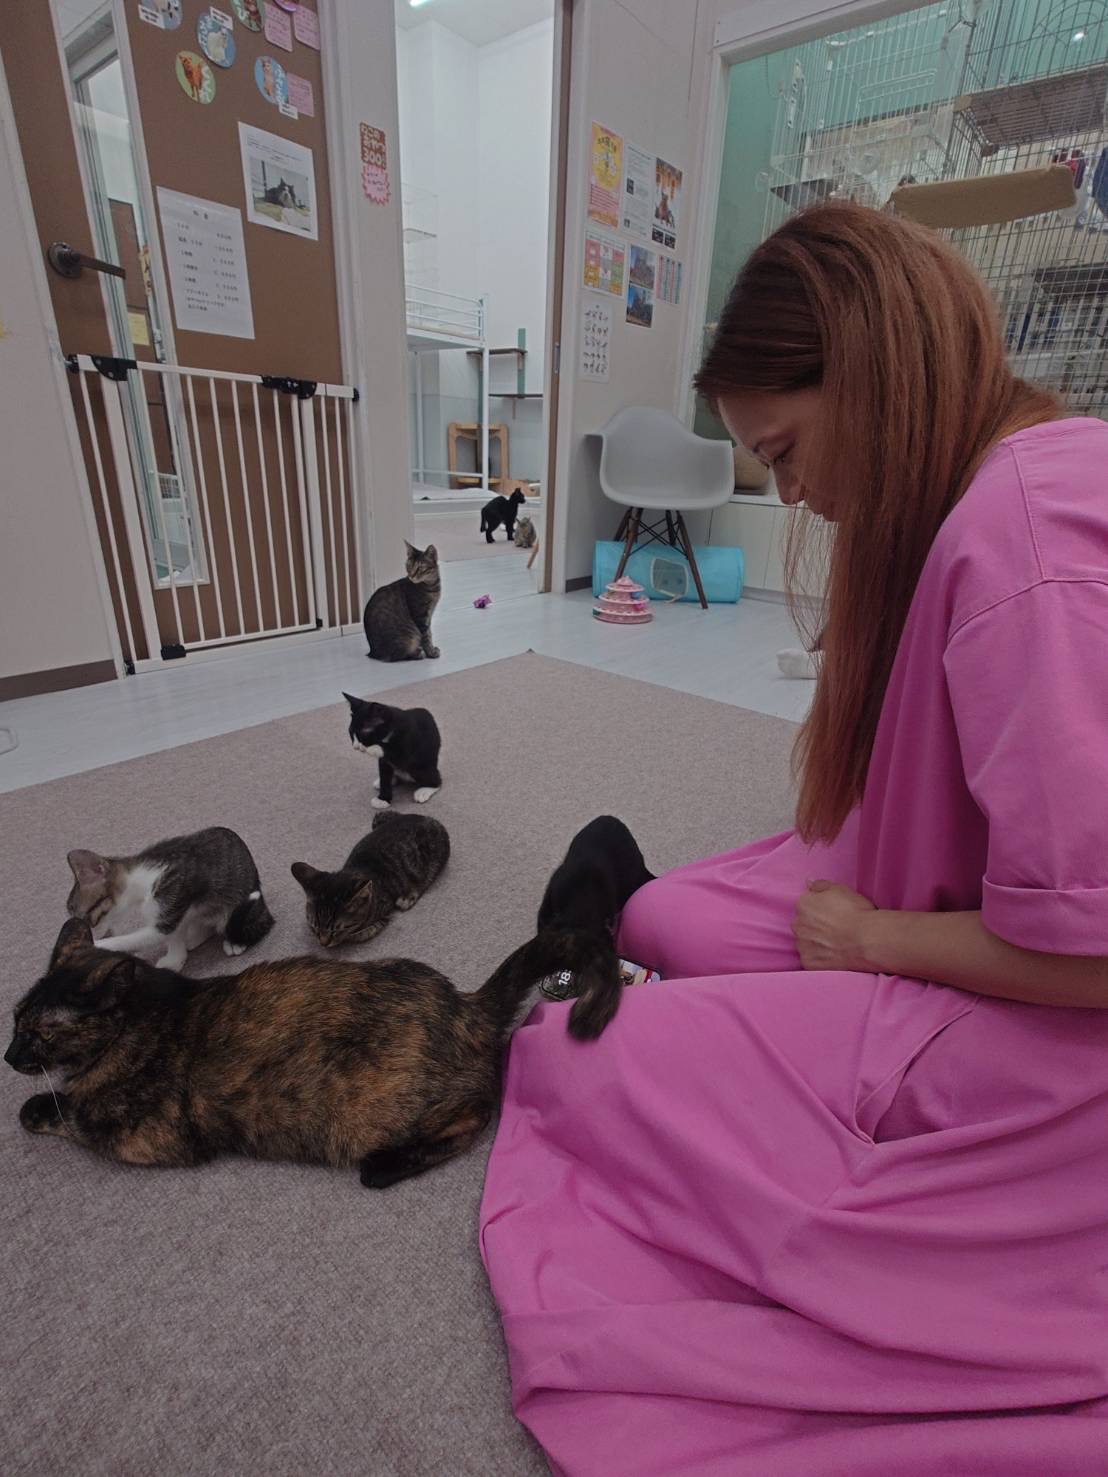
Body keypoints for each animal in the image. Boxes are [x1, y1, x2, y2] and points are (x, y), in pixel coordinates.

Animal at [7, 915, 612, 1187]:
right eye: (13, 1022)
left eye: (40, 1032)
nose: (9, 1057)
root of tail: (468, 1004)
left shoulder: (148, 1138)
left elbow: (68, 1114)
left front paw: (37, 1106)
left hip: (372, 1110)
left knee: (478, 1112)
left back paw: (386, 1167)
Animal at [66, 826, 273, 972]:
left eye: (82, 917)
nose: (79, 929)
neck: (142, 882)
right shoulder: (175, 910)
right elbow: (175, 932)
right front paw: (176, 957)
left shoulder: (172, 895)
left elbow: (140, 937)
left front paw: (95, 945)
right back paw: (195, 935)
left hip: (239, 906)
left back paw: (234, 942)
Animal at [291, 811, 449, 947]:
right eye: (314, 926)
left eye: (337, 930)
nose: (323, 943)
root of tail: (426, 817)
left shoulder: (384, 911)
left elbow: (361, 934)